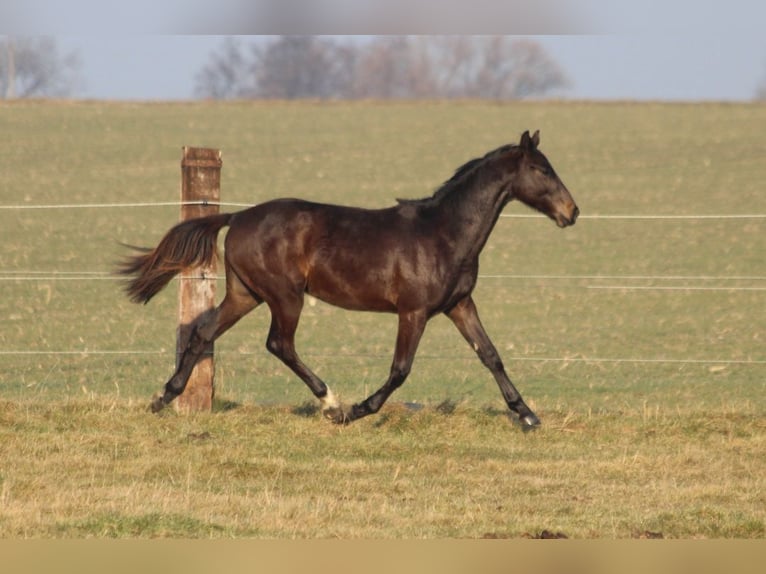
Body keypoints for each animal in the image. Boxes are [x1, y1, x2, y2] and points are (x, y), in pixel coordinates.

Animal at [120, 130, 580, 428]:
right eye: (541, 169)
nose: (571, 212)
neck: (444, 233)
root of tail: (239, 217)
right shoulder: (413, 311)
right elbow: (400, 369)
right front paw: (358, 411)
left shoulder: (459, 305)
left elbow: (490, 355)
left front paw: (527, 415)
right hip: (285, 296)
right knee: (279, 344)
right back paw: (331, 403)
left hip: (246, 294)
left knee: (204, 331)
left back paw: (164, 397)